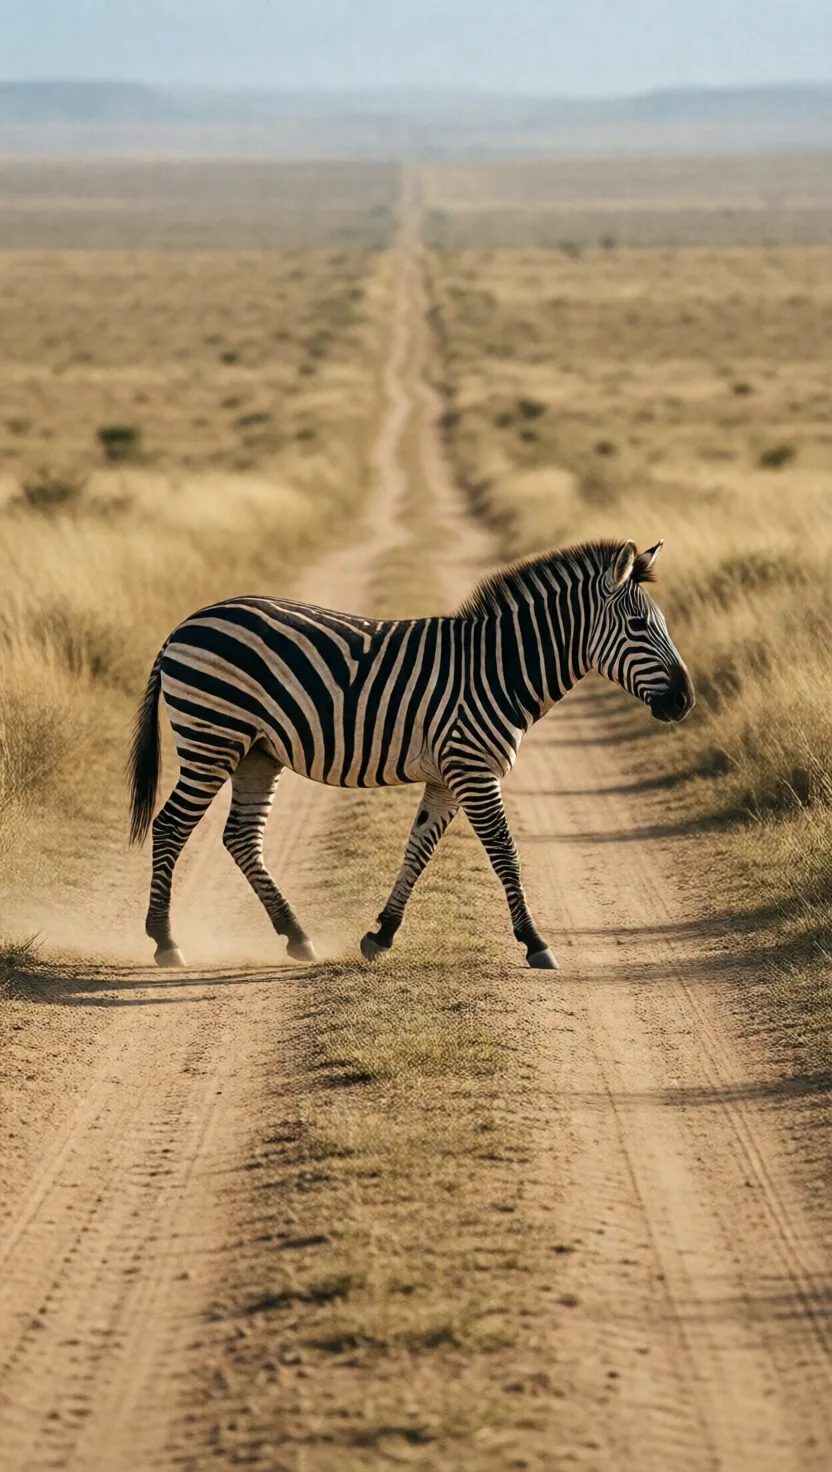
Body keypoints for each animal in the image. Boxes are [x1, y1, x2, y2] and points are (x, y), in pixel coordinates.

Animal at [129, 538, 693, 971]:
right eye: (639, 628)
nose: (685, 701)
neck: (501, 669)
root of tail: (188, 622)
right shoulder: (474, 768)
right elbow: (505, 853)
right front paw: (536, 943)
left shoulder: (449, 775)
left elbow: (418, 850)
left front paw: (381, 934)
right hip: (211, 737)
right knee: (171, 825)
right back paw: (165, 941)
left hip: (256, 751)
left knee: (241, 837)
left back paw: (296, 935)